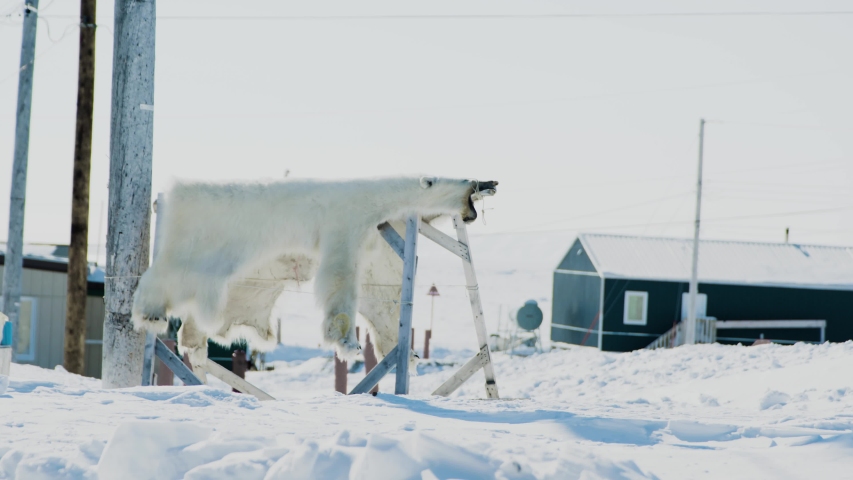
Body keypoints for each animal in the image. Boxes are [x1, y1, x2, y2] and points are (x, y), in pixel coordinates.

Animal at [131, 176, 497, 374]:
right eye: (465, 184)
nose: (489, 183)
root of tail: (175, 196)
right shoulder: (346, 223)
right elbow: (340, 277)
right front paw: (348, 343)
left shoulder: (381, 238)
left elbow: (381, 293)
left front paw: (404, 351)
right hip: (202, 240)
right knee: (171, 276)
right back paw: (151, 314)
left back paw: (195, 347)